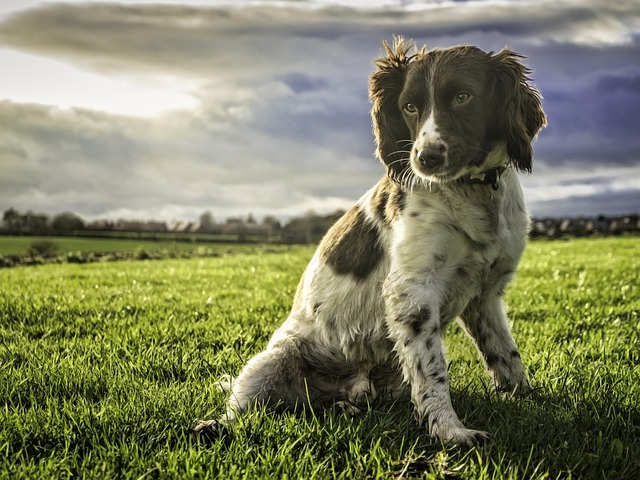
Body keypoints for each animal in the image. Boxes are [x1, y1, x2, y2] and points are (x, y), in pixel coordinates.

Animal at [194, 37, 544, 446]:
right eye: (409, 106)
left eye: (462, 96)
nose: (425, 157)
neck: (473, 191)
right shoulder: (412, 292)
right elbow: (434, 373)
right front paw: (450, 432)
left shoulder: (485, 293)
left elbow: (504, 354)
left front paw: (527, 397)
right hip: (272, 362)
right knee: (245, 406)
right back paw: (215, 425)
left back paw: (345, 407)